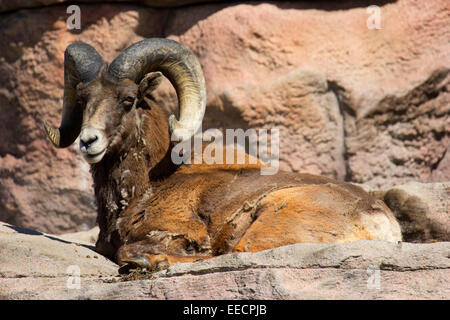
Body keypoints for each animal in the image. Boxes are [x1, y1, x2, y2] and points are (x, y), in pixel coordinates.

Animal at [45, 38, 402, 272]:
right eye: (83, 99)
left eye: (128, 99)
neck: (146, 188)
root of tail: (380, 223)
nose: (89, 141)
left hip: (264, 225)